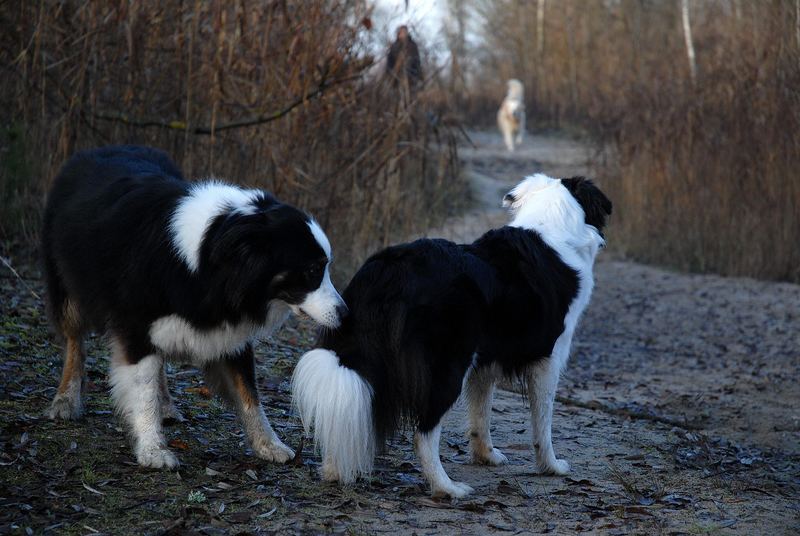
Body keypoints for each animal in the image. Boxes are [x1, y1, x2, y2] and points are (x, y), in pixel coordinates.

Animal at [294, 174, 612, 496]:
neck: (551, 223)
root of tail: (391, 270)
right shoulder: (548, 359)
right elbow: (543, 422)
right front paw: (552, 466)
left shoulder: (484, 363)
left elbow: (481, 414)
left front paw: (486, 456)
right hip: (446, 367)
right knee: (423, 434)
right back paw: (447, 487)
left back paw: (333, 470)